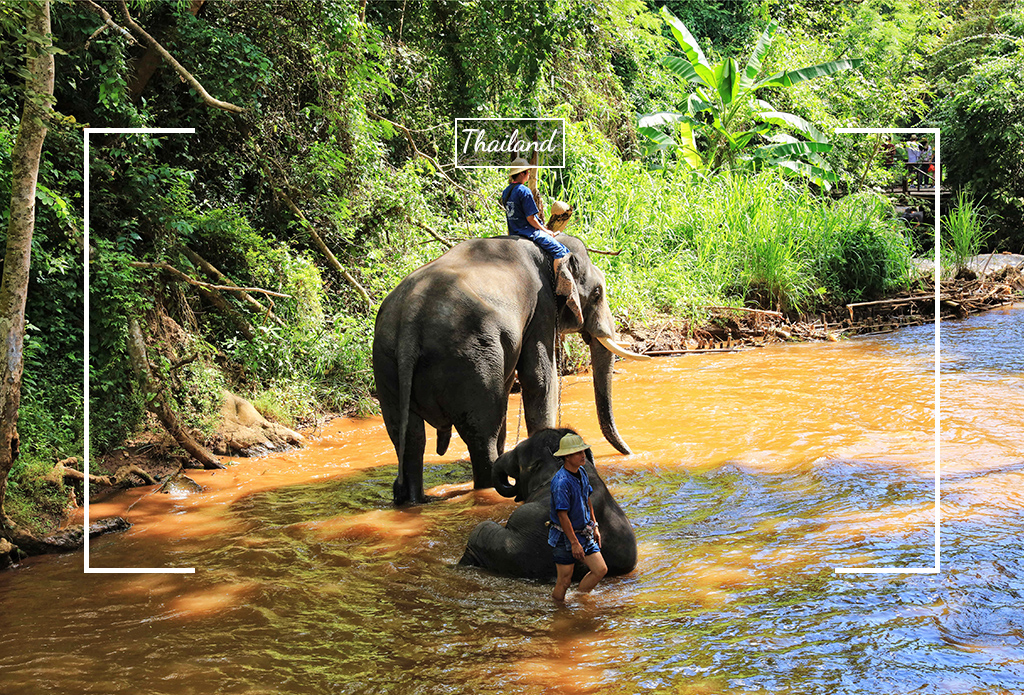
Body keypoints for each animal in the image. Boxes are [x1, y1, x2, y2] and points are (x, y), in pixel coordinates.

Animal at [374, 233, 647, 505]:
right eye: (598, 293)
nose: (630, 453)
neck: (548, 251)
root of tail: (410, 320)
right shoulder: (541, 307)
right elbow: (539, 379)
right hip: (468, 359)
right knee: (481, 433)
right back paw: (491, 486)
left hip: (388, 364)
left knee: (409, 436)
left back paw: (414, 500)